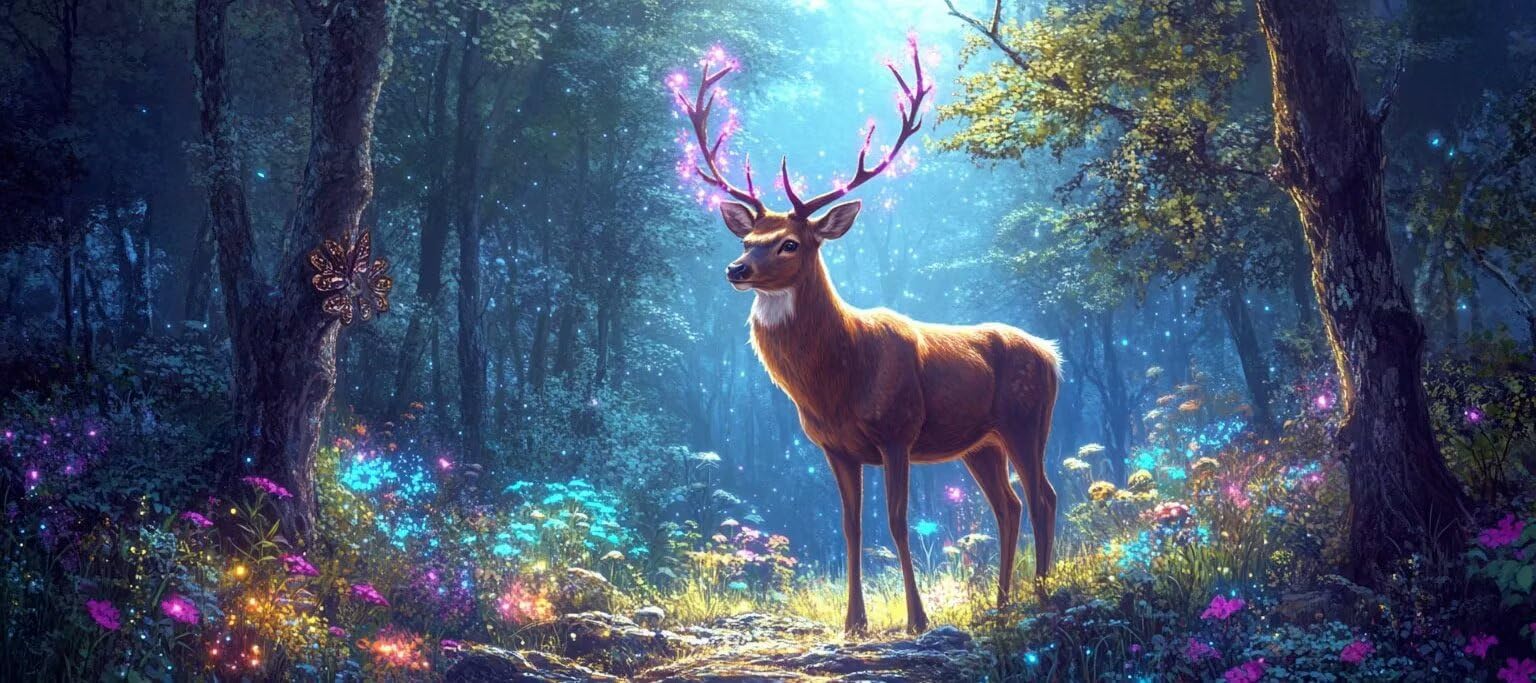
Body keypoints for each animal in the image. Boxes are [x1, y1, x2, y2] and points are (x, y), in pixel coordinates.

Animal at [673, 38, 1059, 635]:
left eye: (789, 243)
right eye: (748, 238)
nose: (736, 269)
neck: (838, 379)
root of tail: (1053, 354)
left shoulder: (898, 430)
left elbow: (898, 521)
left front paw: (917, 620)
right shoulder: (835, 447)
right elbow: (850, 526)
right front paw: (854, 622)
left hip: (1026, 418)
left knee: (1043, 496)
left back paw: (1040, 596)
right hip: (980, 442)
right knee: (1010, 505)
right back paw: (1001, 604)